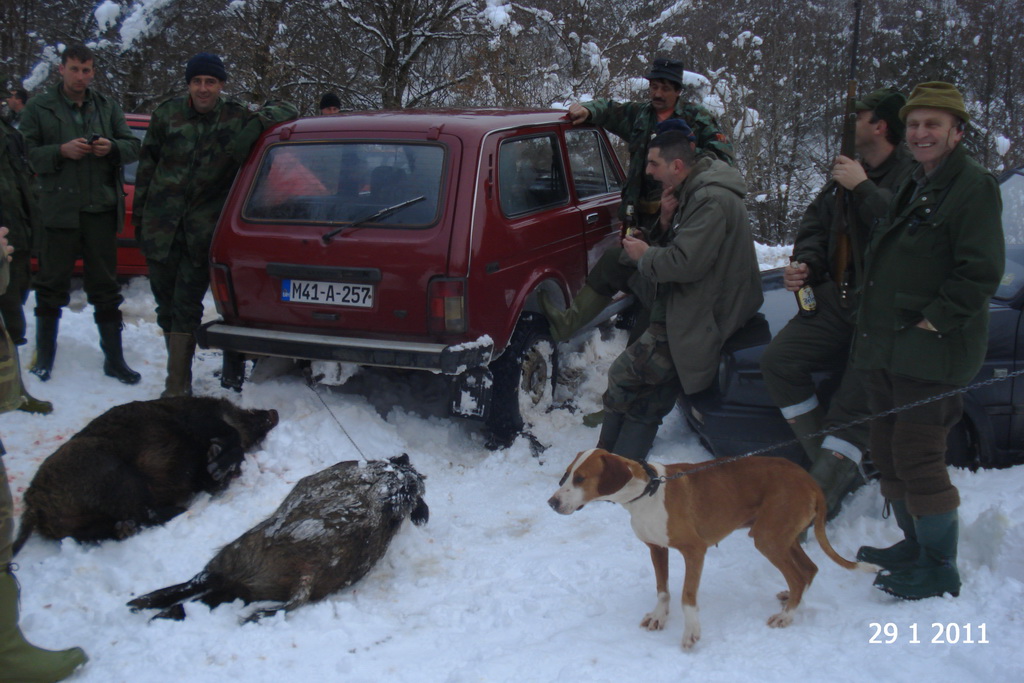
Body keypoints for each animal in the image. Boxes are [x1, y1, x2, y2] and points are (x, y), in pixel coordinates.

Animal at [548, 448, 876, 651]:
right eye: (566, 474)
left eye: (580, 478)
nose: (551, 503)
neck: (648, 491)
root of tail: (810, 480)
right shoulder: (657, 548)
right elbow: (663, 589)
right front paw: (659, 616)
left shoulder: (695, 551)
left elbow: (687, 597)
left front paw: (691, 633)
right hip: (782, 536)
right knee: (809, 569)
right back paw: (791, 602)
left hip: (768, 538)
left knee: (798, 575)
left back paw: (786, 616)